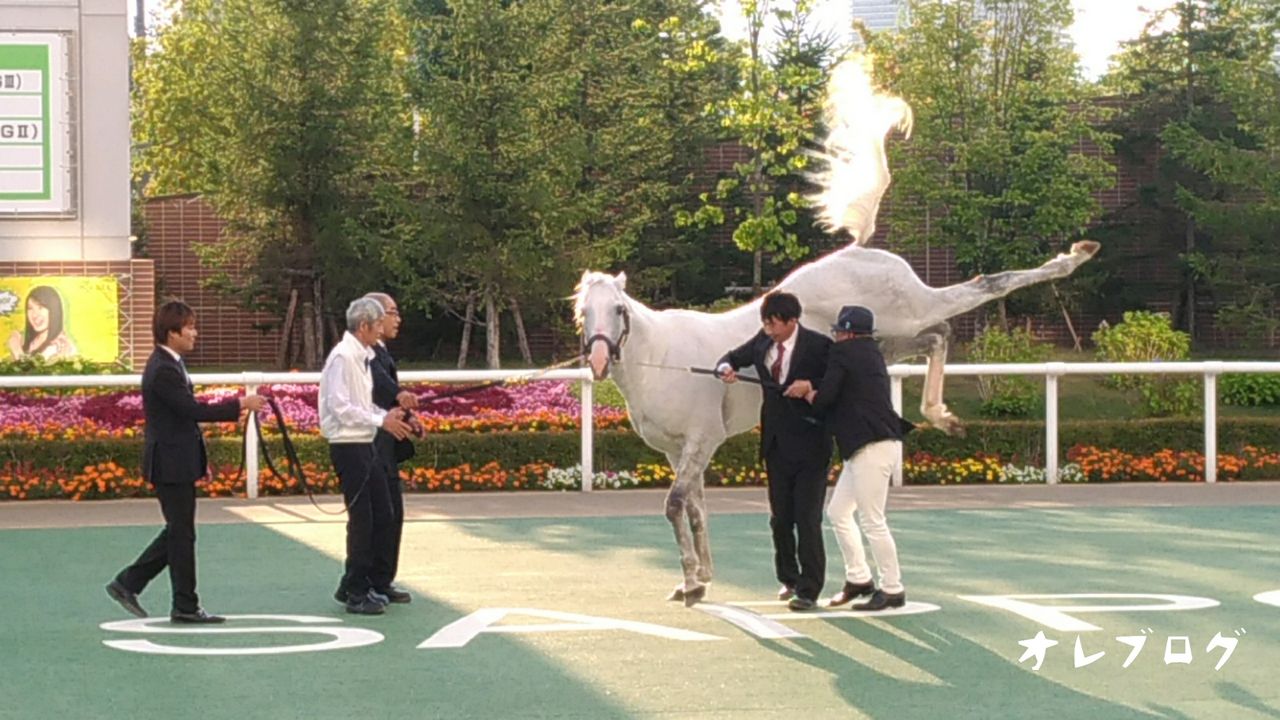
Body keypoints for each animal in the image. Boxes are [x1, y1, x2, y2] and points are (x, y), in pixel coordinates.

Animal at [570, 53, 1100, 599]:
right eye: (583, 310)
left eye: (619, 310)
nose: (598, 358)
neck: (664, 362)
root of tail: (858, 249)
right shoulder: (680, 451)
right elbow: (692, 508)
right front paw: (697, 580)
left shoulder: (701, 440)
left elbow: (676, 505)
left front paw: (695, 580)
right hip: (887, 340)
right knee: (939, 335)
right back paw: (942, 416)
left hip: (910, 309)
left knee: (980, 288)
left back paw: (1072, 258)